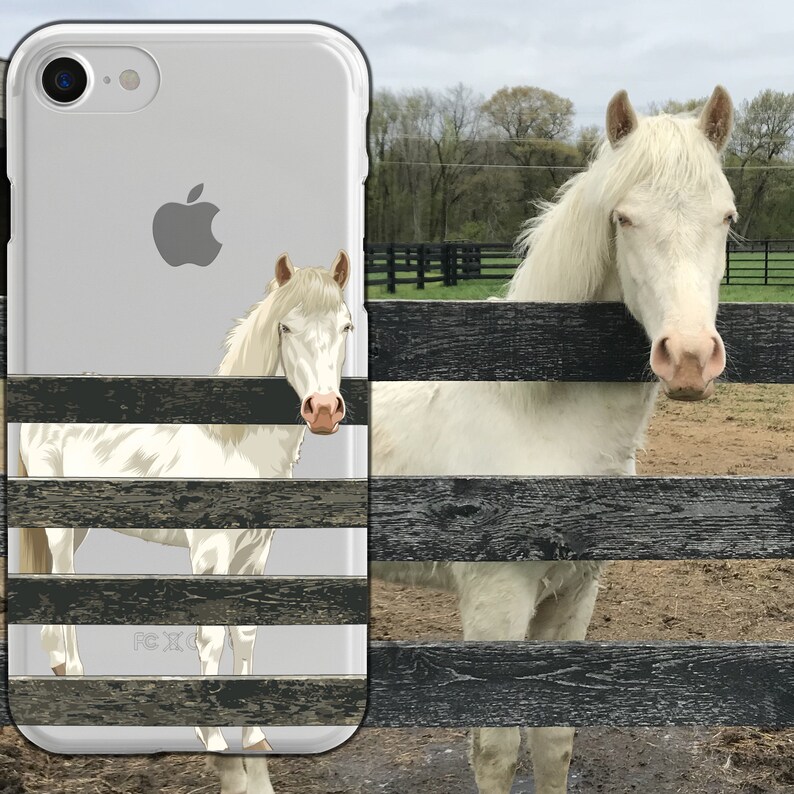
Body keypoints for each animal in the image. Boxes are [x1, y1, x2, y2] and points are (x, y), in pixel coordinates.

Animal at [17, 250, 353, 774]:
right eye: (285, 327)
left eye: (346, 326)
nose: (323, 410)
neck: (235, 445)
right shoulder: (210, 552)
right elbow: (210, 635)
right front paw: (211, 738)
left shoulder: (255, 553)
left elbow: (246, 632)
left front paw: (255, 737)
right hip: (57, 517)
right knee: (64, 581)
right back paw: (73, 672)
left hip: (81, 520)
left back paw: (56, 662)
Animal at [369, 86, 735, 794]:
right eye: (624, 218)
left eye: (727, 219)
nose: (689, 358)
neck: (538, 420)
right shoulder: (496, 602)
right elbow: (495, 749)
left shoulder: (571, 596)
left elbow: (553, 739)